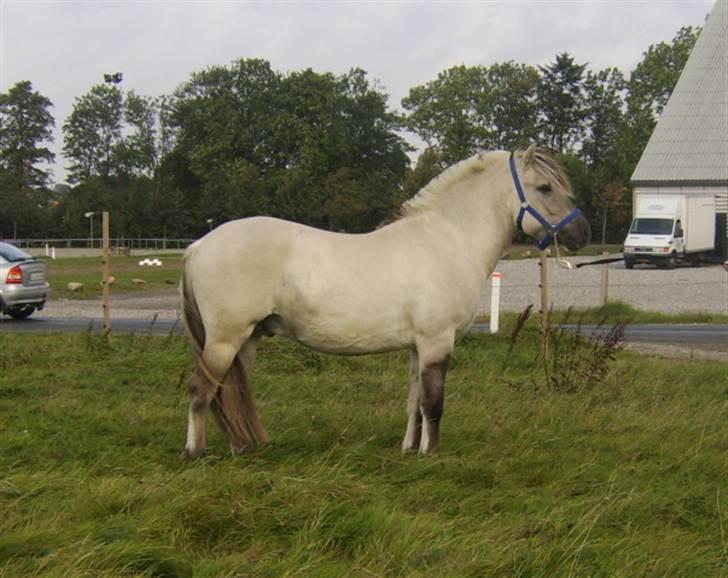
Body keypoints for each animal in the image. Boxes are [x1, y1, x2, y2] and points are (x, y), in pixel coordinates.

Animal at [181, 144, 592, 454]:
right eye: (544, 188)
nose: (582, 232)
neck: (447, 240)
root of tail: (199, 245)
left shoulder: (418, 346)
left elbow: (415, 402)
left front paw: (410, 448)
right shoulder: (437, 342)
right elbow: (434, 402)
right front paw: (432, 453)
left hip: (247, 339)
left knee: (229, 392)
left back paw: (242, 447)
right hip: (224, 339)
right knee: (202, 390)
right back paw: (196, 452)